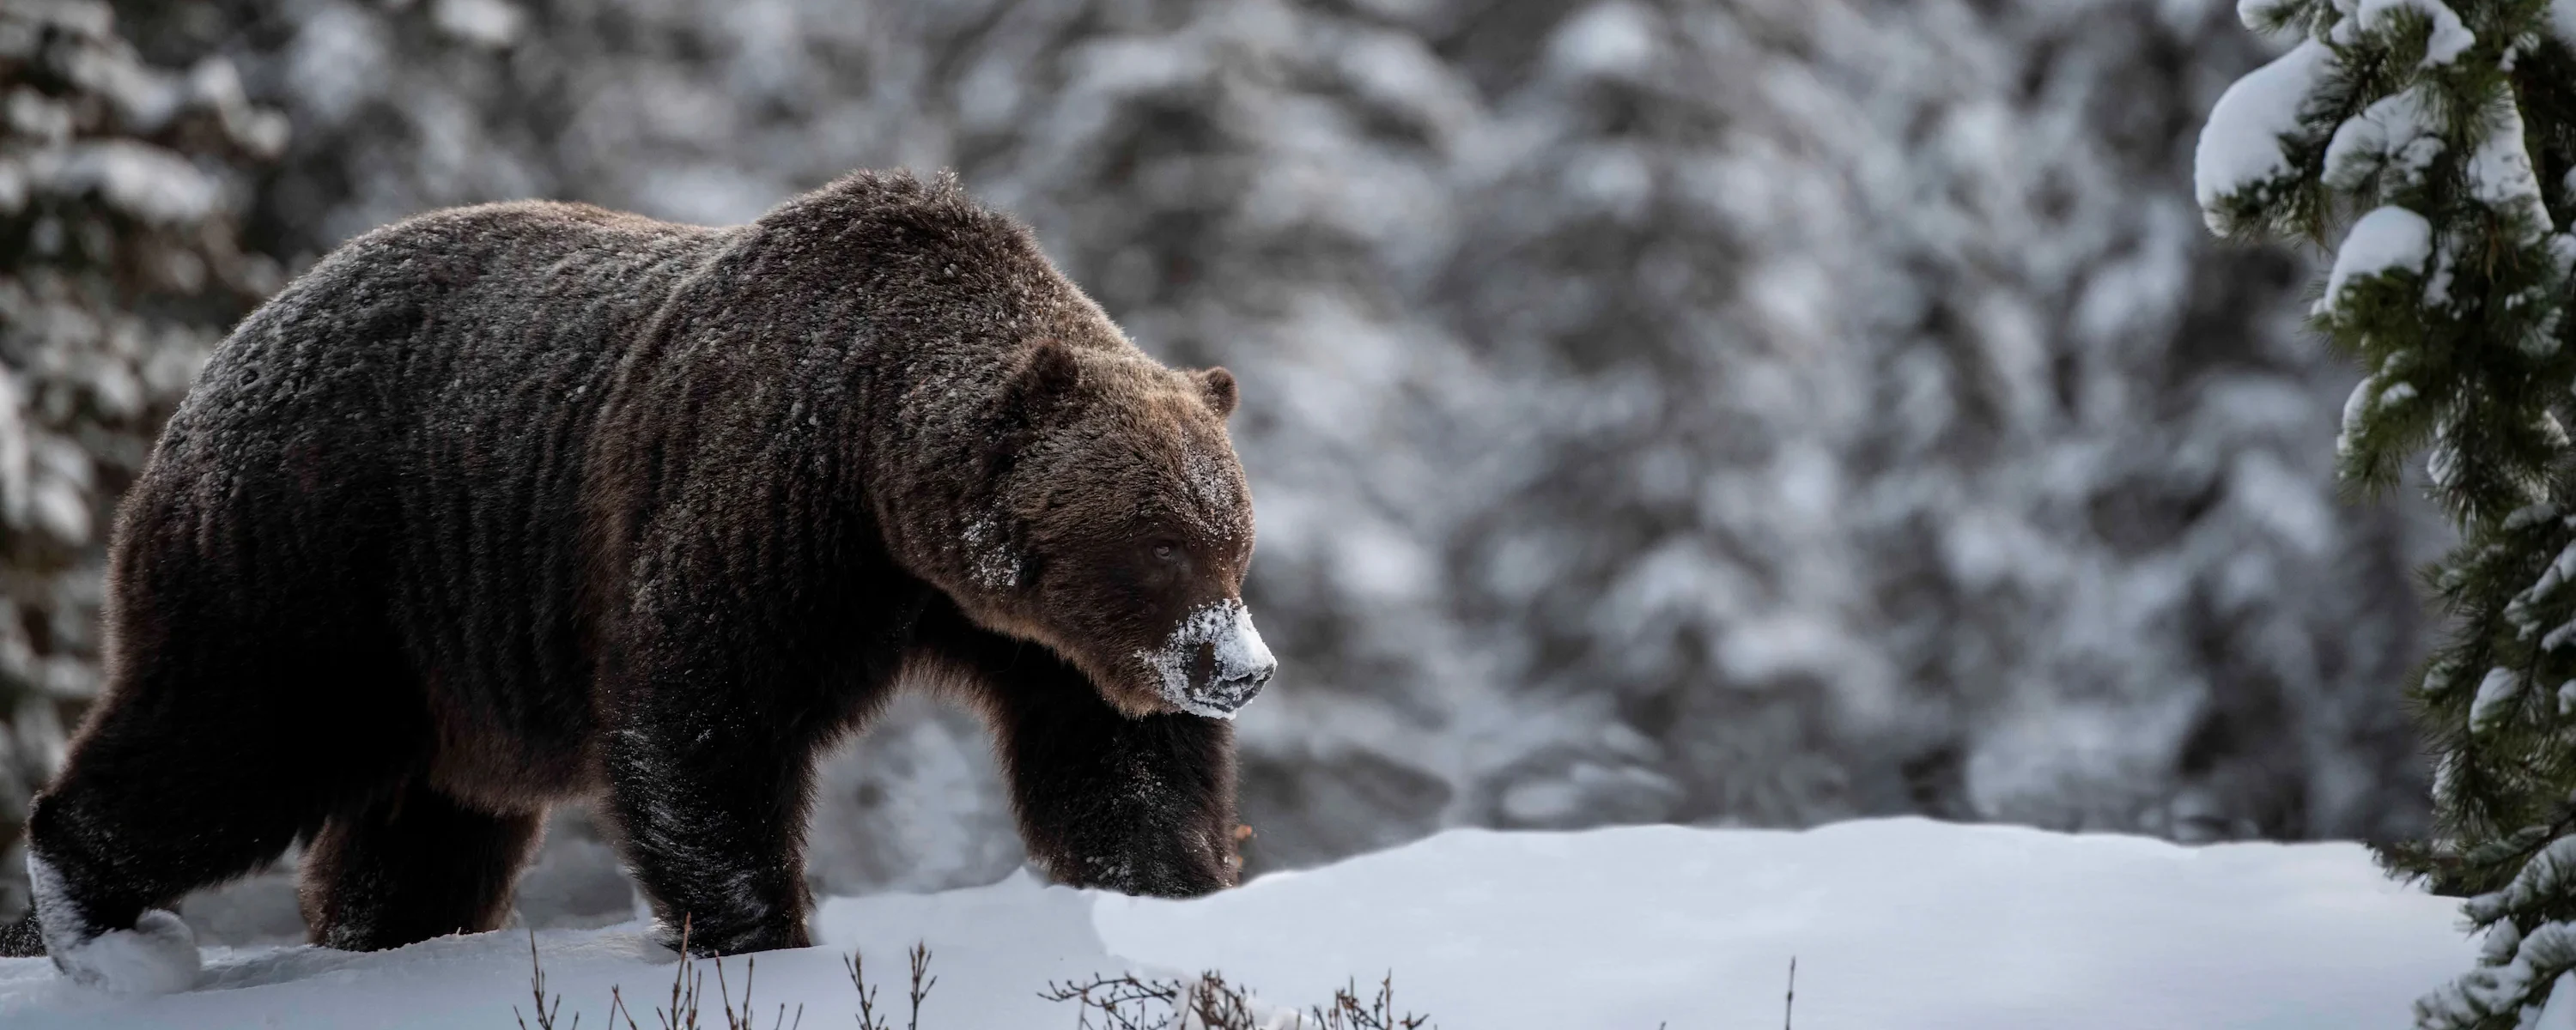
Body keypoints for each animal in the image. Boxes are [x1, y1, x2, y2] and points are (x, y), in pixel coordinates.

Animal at [0, 171, 1273, 989]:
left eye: (1235, 538)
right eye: (1159, 540)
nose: (1242, 668)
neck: (877, 474)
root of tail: (219, 361)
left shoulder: (1012, 627)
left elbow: (1114, 759)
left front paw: (1173, 890)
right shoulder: (769, 515)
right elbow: (702, 717)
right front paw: (763, 933)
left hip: (444, 665)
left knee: (420, 837)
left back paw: (382, 938)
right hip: (317, 561)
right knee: (228, 739)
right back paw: (103, 926)